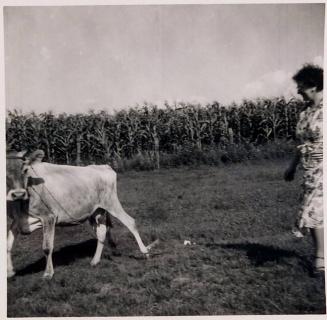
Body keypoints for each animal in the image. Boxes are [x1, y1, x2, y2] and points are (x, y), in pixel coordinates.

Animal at [6, 149, 152, 278]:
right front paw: (9, 272)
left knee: (130, 222)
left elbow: (47, 247)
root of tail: (103, 166)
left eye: (25, 170)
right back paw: (95, 261)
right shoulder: (18, 221)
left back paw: (145, 252)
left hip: (111, 203)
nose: (18, 194)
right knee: (102, 231)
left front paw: (48, 273)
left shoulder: (49, 217)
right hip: (96, 211)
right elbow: (7, 244)